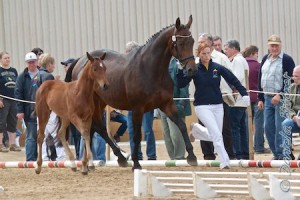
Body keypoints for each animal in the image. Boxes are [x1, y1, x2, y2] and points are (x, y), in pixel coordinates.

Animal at [71, 15, 197, 170]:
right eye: (180, 42)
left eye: (192, 41)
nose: (191, 69)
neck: (151, 69)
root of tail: (81, 61)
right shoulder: (138, 109)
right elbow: (136, 136)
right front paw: (136, 164)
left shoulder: (167, 104)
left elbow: (181, 125)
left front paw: (192, 156)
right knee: (98, 128)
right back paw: (118, 158)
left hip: (100, 103)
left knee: (95, 129)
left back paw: (94, 162)